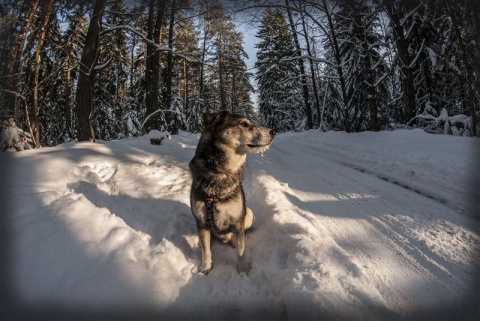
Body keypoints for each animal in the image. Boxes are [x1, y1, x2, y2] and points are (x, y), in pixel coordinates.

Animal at [189, 111, 276, 274]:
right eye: (244, 124)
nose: (273, 131)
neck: (220, 173)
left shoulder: (237, 220)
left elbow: (241, 249)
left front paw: (242, 269)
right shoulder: (202, 221)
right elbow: (206, 250)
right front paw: (205, 267)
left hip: (248, 212)